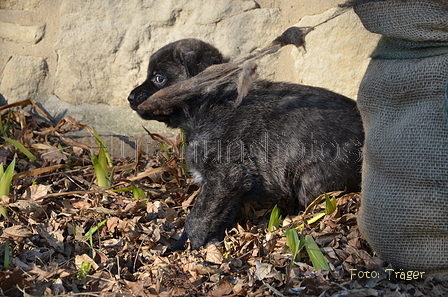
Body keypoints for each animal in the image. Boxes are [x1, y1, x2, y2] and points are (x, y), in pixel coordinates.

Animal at [129, 37, 364, 250]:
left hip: (312, 179)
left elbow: (199, 217)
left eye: (159, 78)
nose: (130, 97)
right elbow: (219, 214)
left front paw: (185, 245)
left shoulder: (224, 178)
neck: (206, 103)